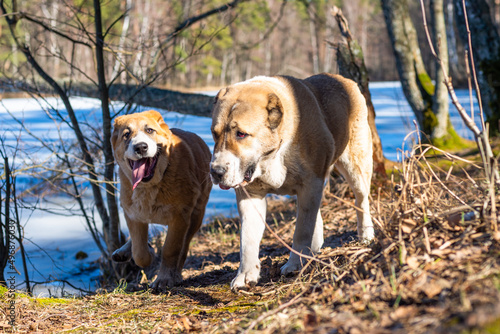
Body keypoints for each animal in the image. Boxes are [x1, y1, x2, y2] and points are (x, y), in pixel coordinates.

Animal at [110, 109, 212, 290]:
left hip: (196, 216)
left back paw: (176, 274)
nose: (141, 147)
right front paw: (148, 252)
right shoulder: (132, 214)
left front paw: (164, 279)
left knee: (184, 248)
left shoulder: (180, 218)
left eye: (150, 130)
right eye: (126, 134)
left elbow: (171, 250)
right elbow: (139, 252)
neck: (149, 186)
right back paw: (123, 252)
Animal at [211, 72, 376, 290]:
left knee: (361, 201)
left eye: (241, 134)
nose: (216, 171)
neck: (272, 153)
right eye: (214, 133)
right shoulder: (250, 196)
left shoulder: (310, 184)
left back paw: (365, 235)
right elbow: (247, 239)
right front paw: (246, 275)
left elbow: (302, 230)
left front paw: (295, 264)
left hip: (355, 166)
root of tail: (345, 80)